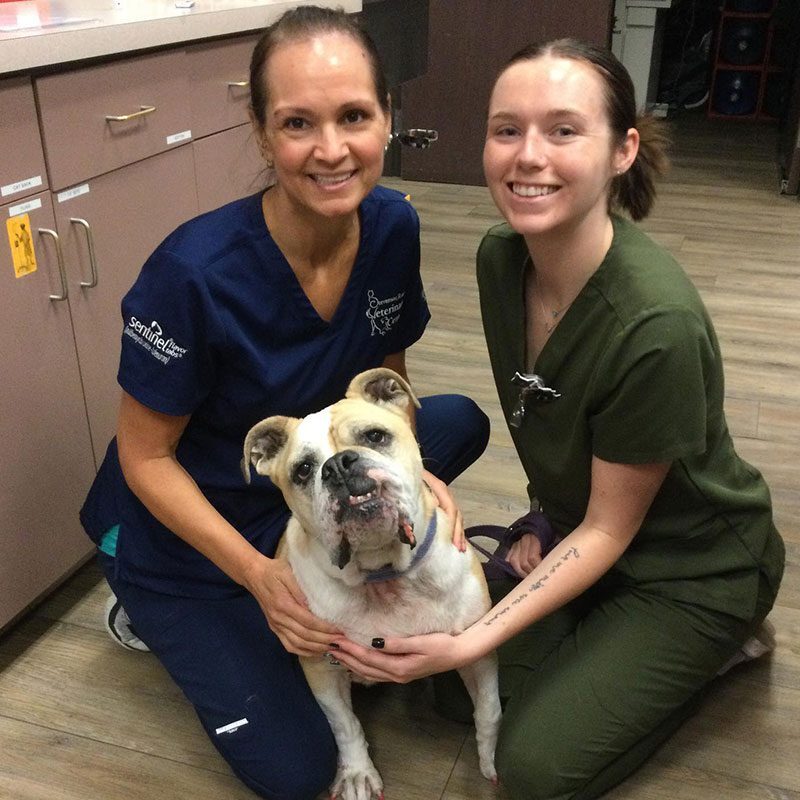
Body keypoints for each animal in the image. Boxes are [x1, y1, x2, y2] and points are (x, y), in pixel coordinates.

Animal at [241, 368, 500, 800]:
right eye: (303, 470)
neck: (384, 571)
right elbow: (344, 725)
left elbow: (490, 709)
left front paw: (489, 758)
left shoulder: (476, 649)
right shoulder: (322, 667)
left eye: (375, 436)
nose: (339, 465)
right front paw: (357, 773)